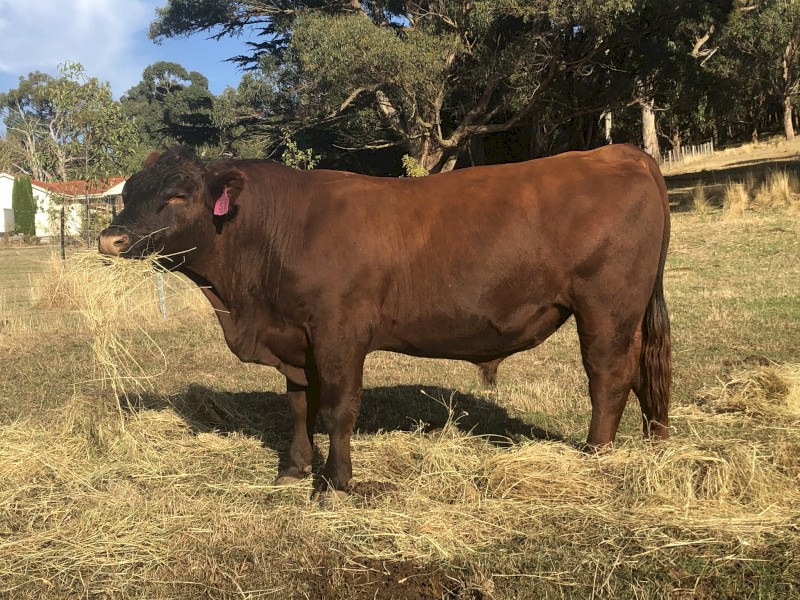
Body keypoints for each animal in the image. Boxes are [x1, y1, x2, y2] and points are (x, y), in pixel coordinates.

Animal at [98, 144, 671, 497]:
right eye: (128, 193)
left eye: (177, 194)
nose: (110, 238)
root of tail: (620, 153)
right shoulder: (295, 339)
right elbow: (299, 406)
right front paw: (294, 470)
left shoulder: (339, 333)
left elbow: (338, 410)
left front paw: (336, 484)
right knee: (644, 374)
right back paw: (653, 442)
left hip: (606, 307)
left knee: (609, 376)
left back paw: (595, 456)